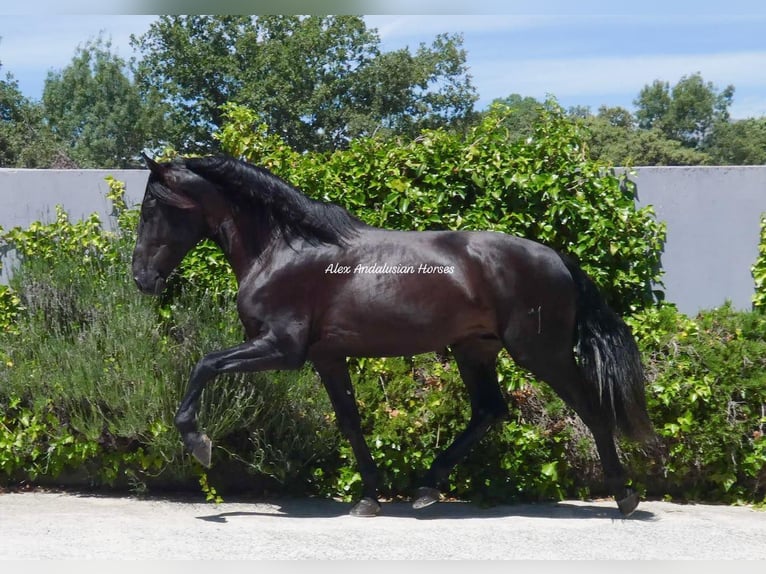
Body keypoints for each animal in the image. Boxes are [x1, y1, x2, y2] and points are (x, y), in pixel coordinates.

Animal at [130, 152, 656, 516]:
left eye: (153, 206)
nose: (141, 279)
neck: (285, 249)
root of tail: (557, 258)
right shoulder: (326, 357)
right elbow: (350, 422)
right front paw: (368, 496)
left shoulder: (281, 347)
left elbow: (205, 364)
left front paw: (198, 443)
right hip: (474, 350)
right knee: (489, 410)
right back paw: (426, 487)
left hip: (541, 353)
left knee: (590, 407)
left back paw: (624, 496)